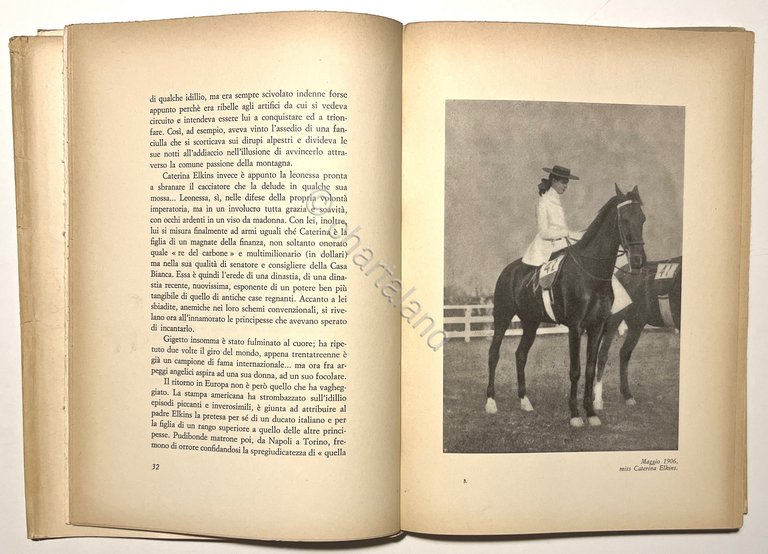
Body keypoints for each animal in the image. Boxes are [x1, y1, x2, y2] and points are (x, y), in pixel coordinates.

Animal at [486, 184, 646, 427]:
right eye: (625, 219)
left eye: (643, 219)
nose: (638, 261)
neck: (590, 274)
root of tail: (508, 271)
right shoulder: (575, 327)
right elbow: (575, 370)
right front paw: (575, 414)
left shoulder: (597, 327)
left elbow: (590, 369)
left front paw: (591, 412)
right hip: (502, 318)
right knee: (494, 354)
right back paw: (491, 403)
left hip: (531, 323)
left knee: (520, 354)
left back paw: (525, 401)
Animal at [593, 256, 682, 409]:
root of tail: (619, 273)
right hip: (614, 320)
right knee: (603, 354)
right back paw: (598, 400)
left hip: (636, 324)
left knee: (624, 353)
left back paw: (627, 395)